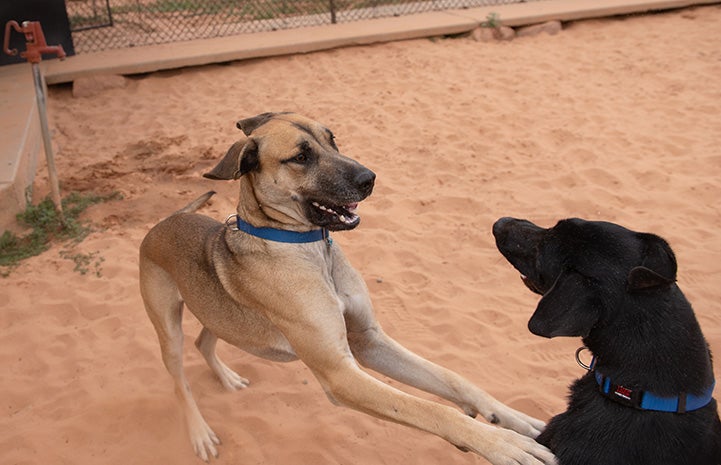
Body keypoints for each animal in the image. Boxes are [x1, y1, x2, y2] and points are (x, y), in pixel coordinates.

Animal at [142, 113, 556, 464]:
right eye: (301, 157)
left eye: (332, 139)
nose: (369, 178)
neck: (311, 250)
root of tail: (165, 221)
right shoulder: (340, 373)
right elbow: (429, 408)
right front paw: (500, 444)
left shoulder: (369, 340)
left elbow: (454, 379)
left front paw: (513, 418)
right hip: (168, 328)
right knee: (179, 380)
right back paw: (199, 433)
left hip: (218, 313)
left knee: (204, 341)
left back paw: (226, 377)